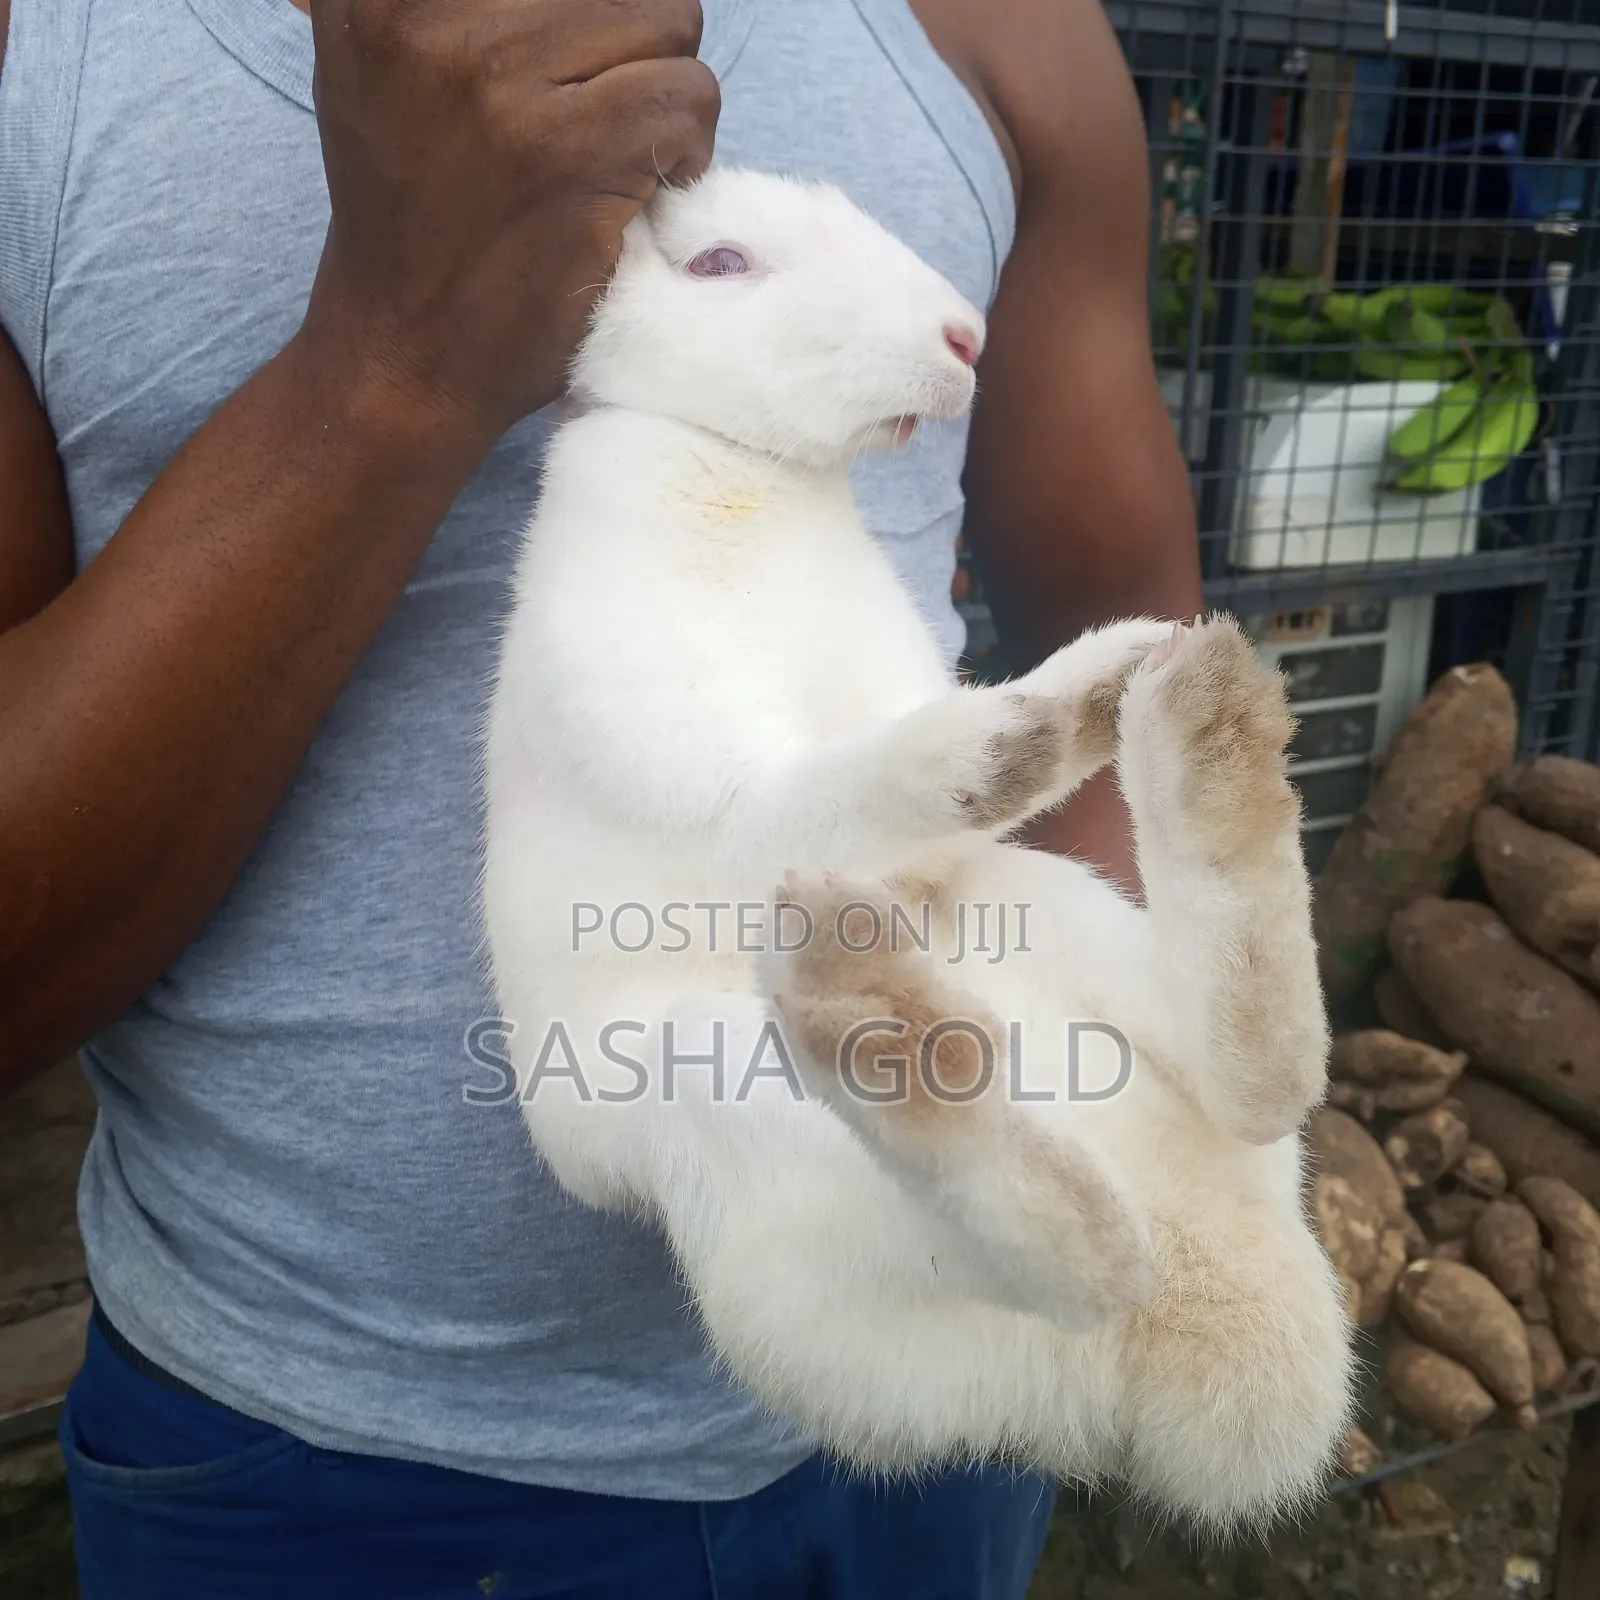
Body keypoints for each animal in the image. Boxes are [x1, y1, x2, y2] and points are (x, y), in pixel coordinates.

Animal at [482, 167, 1353, 1532]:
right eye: (720, 261)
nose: (964, 338)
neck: (743, 467)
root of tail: (1204, 1323)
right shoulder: (699, 774)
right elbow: (824, 793)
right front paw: (1001, 742)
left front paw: (1084, 688)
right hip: (720, 1105)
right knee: (1087, 1253)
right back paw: (881, 999)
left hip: (1046, 910)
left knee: (1257, 1091)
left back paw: (1182, 710)